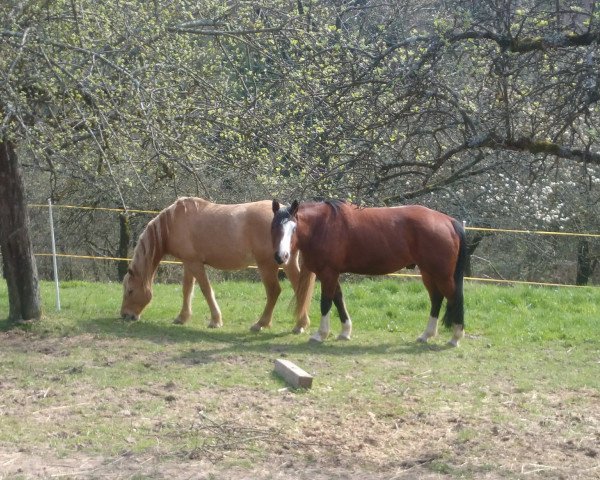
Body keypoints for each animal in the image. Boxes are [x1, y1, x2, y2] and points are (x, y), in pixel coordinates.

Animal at [120, 197, 312, 332]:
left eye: (130, 291)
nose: (125, 315)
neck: (173, 222)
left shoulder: (195, 264)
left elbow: (206, 290)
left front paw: (215, 321)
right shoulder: (188, 263)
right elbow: (187, 290)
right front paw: (182, 317)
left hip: (267, 266)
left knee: (274, 291)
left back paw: (261, 323)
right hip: (287, 262)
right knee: (299, 288)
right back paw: (300, 324)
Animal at [272, 201, 468, 346]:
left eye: (294, 228)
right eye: (274, 226)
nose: (281, 256)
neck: (323, 226)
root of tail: (449, 221)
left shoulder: (328, 273)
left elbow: (326, 303)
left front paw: (321, 334)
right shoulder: (333, 273)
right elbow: (338, 299)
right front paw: (345, 332)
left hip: (442, 274)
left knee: (454, 297)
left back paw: (455, 337)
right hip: (428, 272)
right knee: (436, 299)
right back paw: (427, 335)